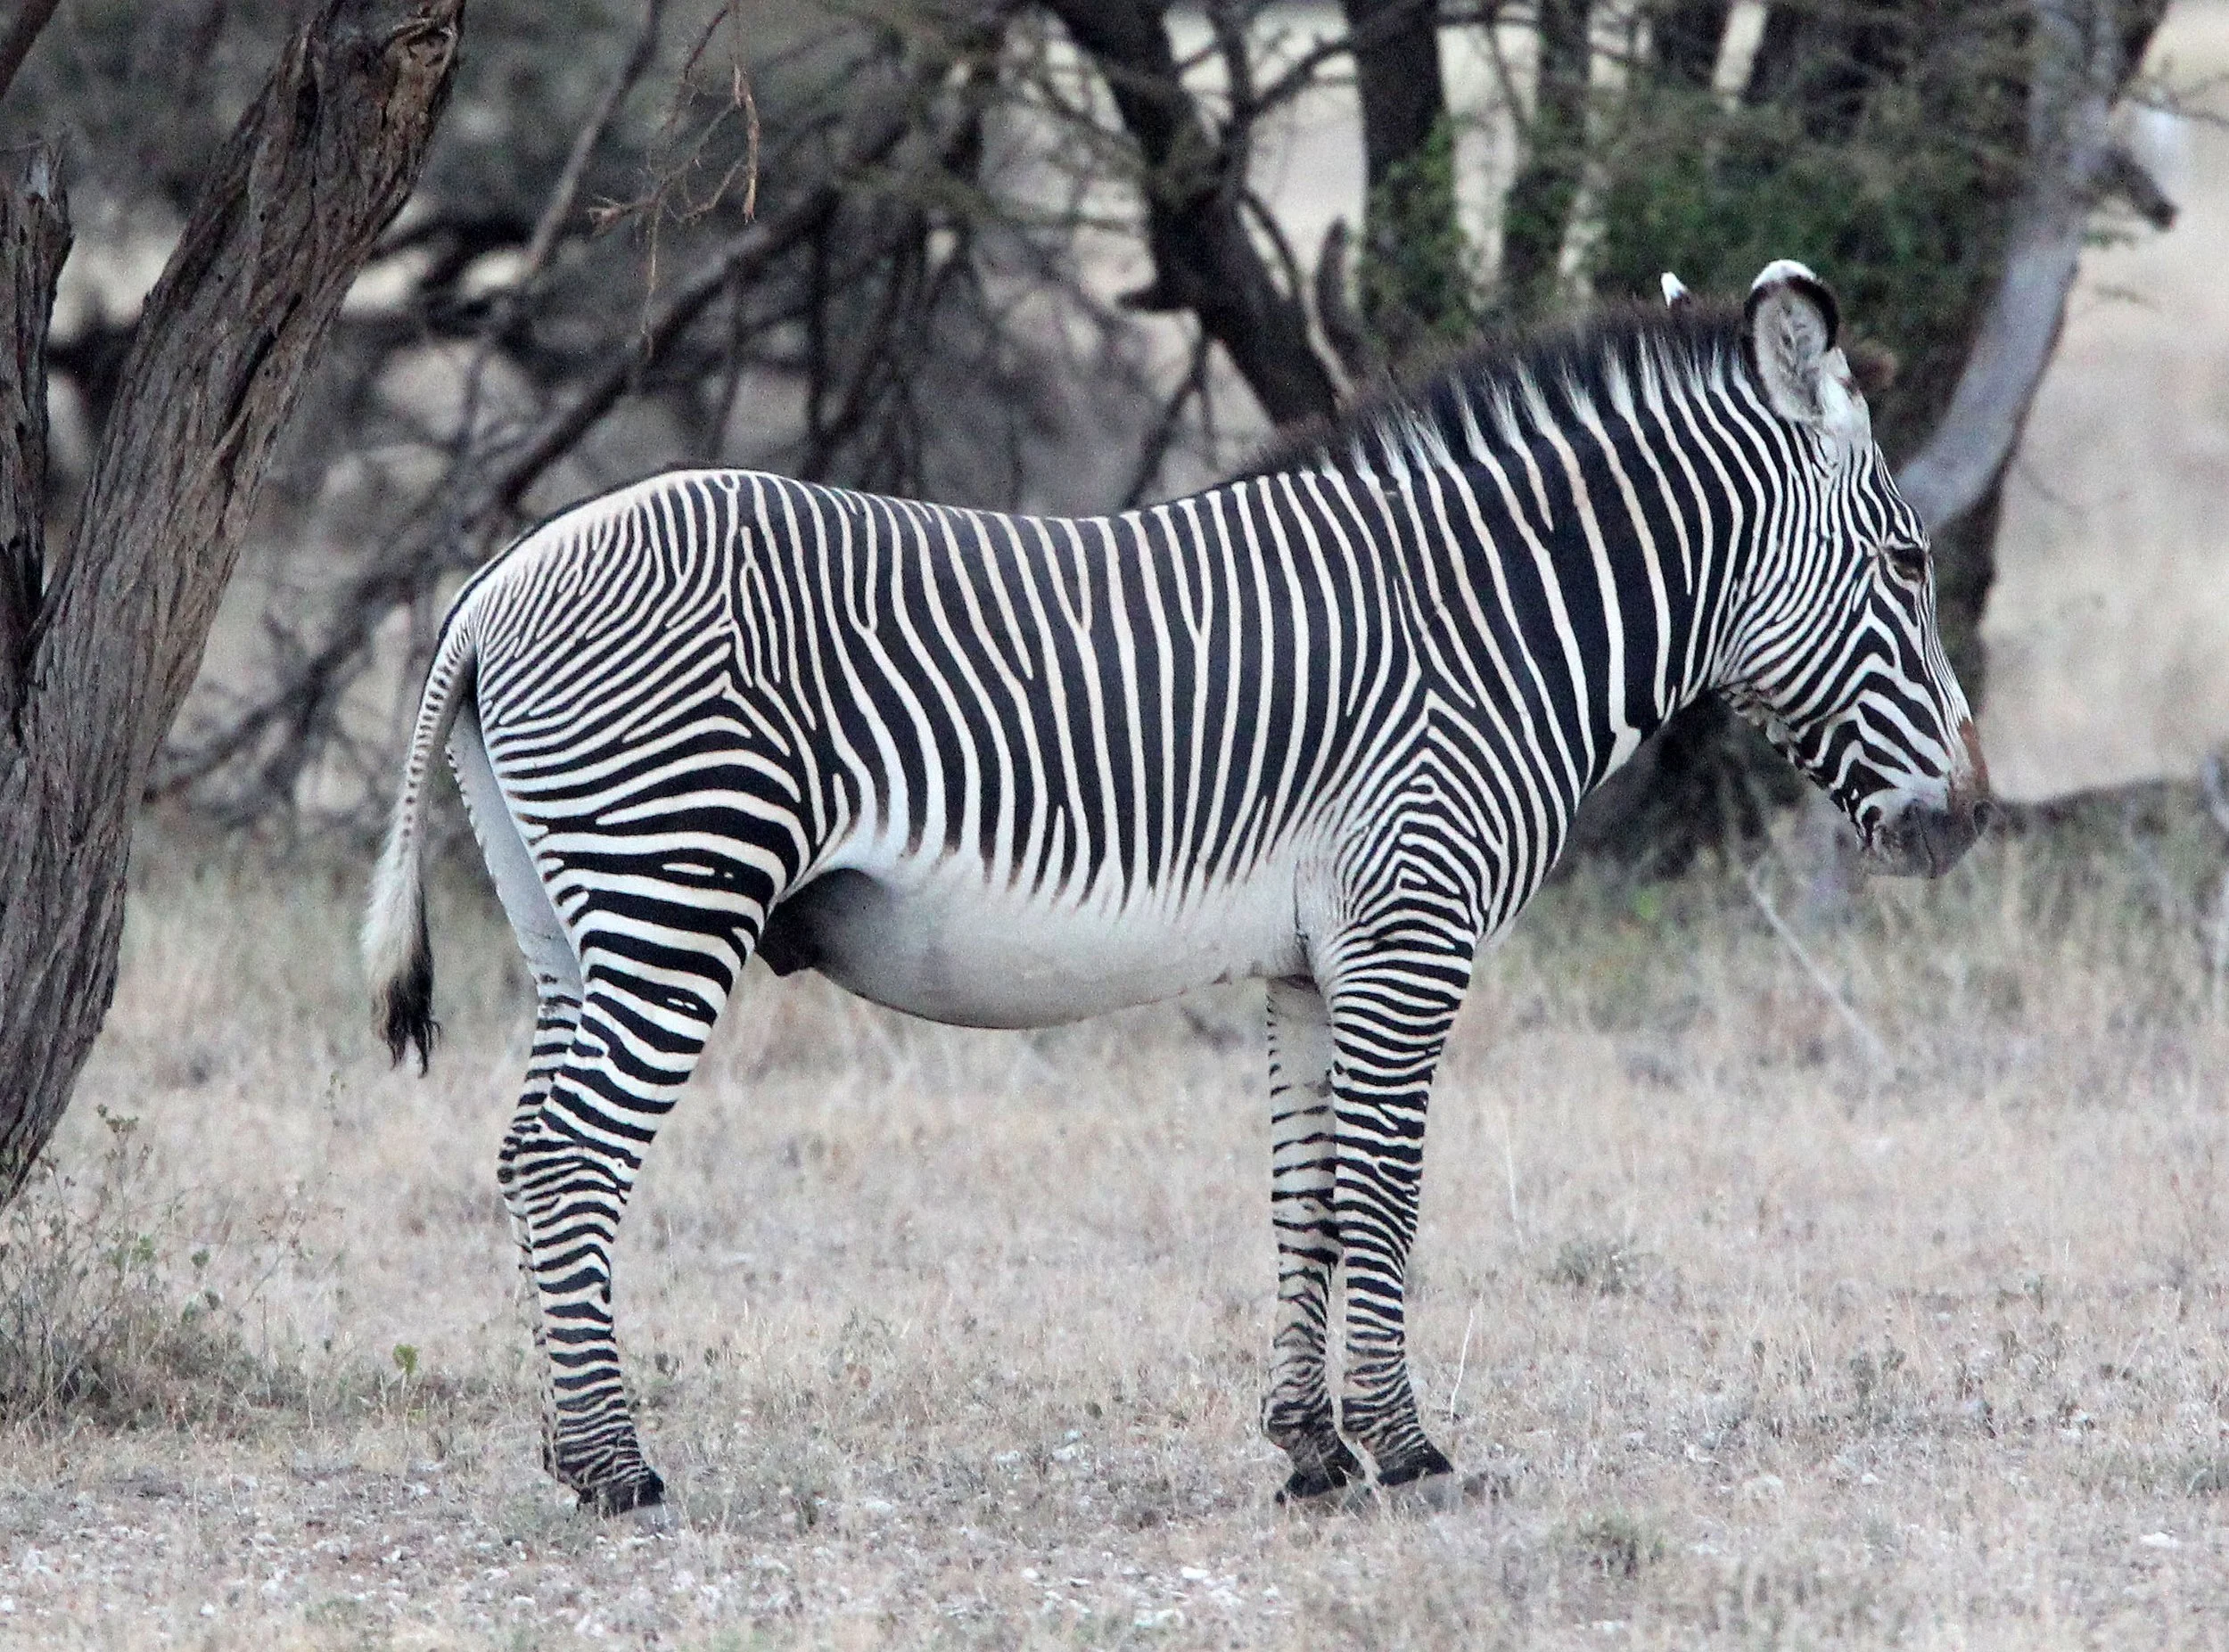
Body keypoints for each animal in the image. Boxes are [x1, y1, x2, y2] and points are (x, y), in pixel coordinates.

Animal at [365, 260, 1990, 1515]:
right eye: (1909, 564)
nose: (1968, 821)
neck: (1491, 625)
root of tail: (494, 584)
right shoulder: (1413, 928)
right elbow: (1389, 1193)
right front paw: (1408, 1451)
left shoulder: (1313, 962)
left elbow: (1309, 1202)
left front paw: (1312, 1452)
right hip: (675, 886)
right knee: (571, 1159)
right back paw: (619, 1472)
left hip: (572, 920)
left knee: (525, 1152)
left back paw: (571, 1452)